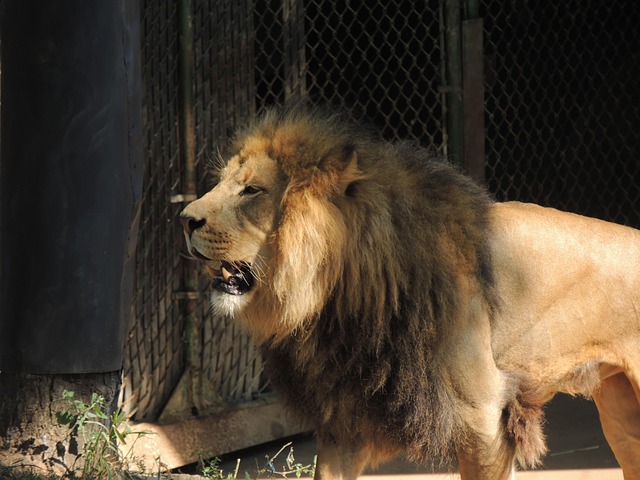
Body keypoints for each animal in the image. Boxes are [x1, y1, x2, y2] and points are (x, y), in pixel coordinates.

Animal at [180, 105, 640, 479]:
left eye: (252, 190)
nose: (184, 218)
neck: (342, 302)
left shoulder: (484, 419)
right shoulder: (345, 419)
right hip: (622, 417)